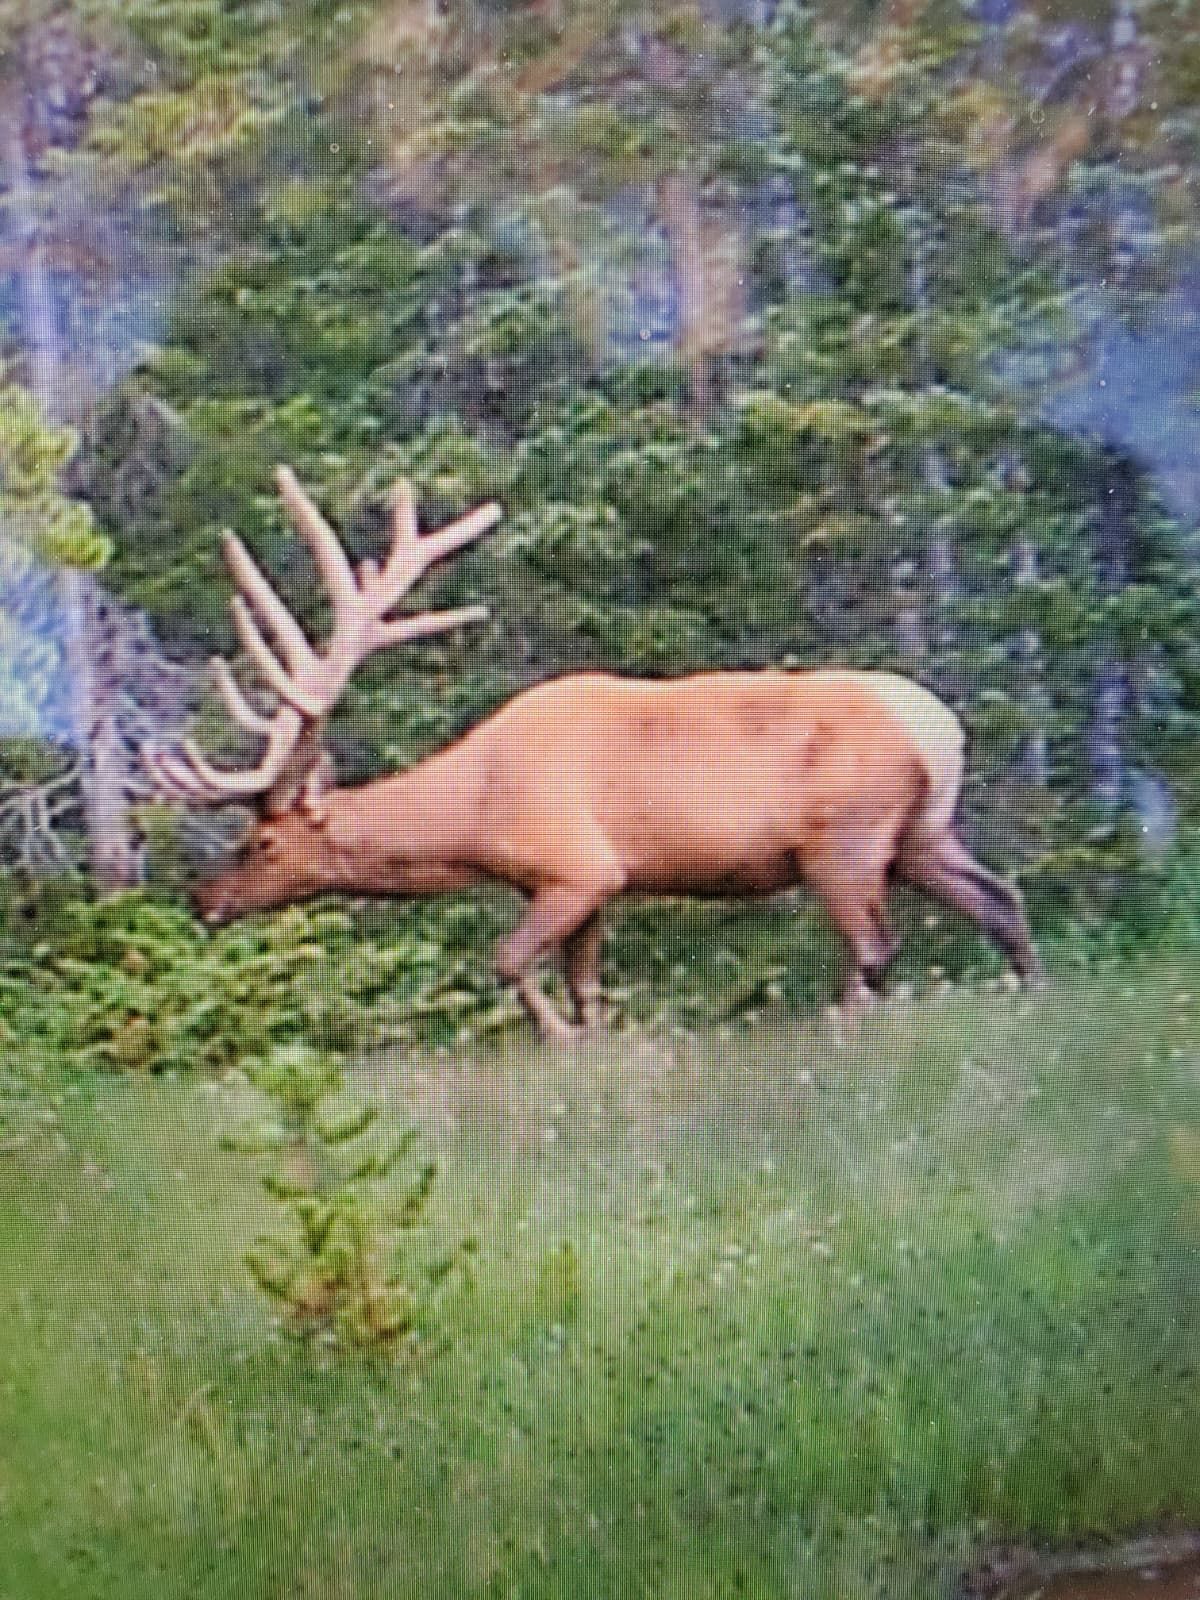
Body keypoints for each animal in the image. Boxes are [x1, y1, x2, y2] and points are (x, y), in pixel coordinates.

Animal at [148, 467, 1042, 1042]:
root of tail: (937, 724)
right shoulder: (596, 889)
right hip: (921, 834)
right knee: (1000, 900)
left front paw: (565, 1047)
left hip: (845, 841)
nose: (203, 899)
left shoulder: (576, 867)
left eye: (261, 842)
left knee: (876, 949)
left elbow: (509, 964)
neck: (474, 817)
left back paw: (847, 1034)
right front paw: (594, 1045)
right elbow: (586, 989)